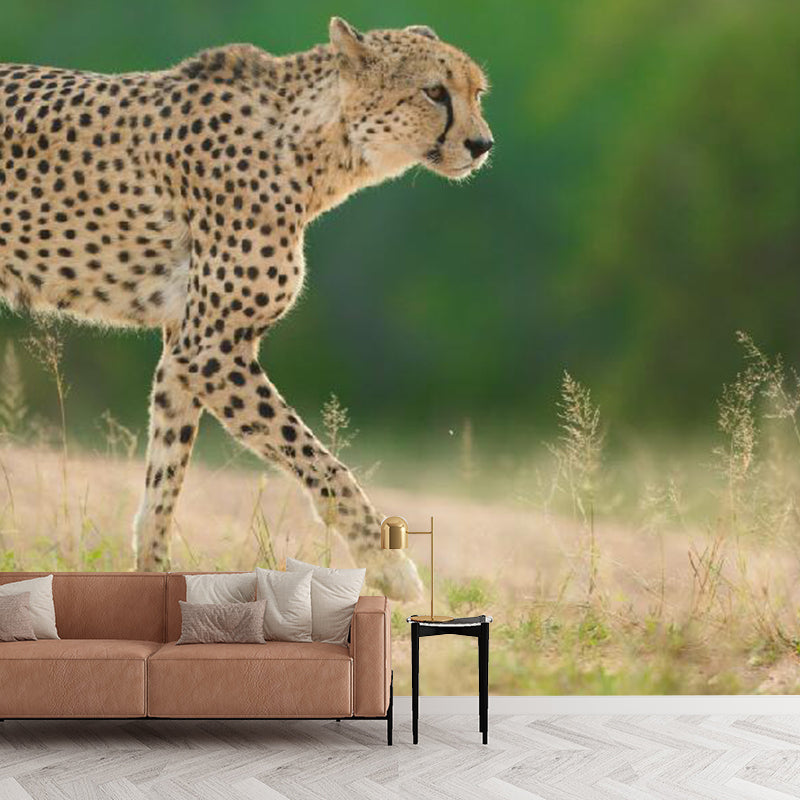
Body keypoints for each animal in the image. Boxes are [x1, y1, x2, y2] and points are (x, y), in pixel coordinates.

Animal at [0, 17, 493, 599]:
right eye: (434, 92)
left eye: (476, 93)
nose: (482, 144)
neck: (315, 144)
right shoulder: (211, 351)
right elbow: (325, 465)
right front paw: (388, 566)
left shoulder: (182, 353)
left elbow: (163, 485)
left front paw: (155, 576)